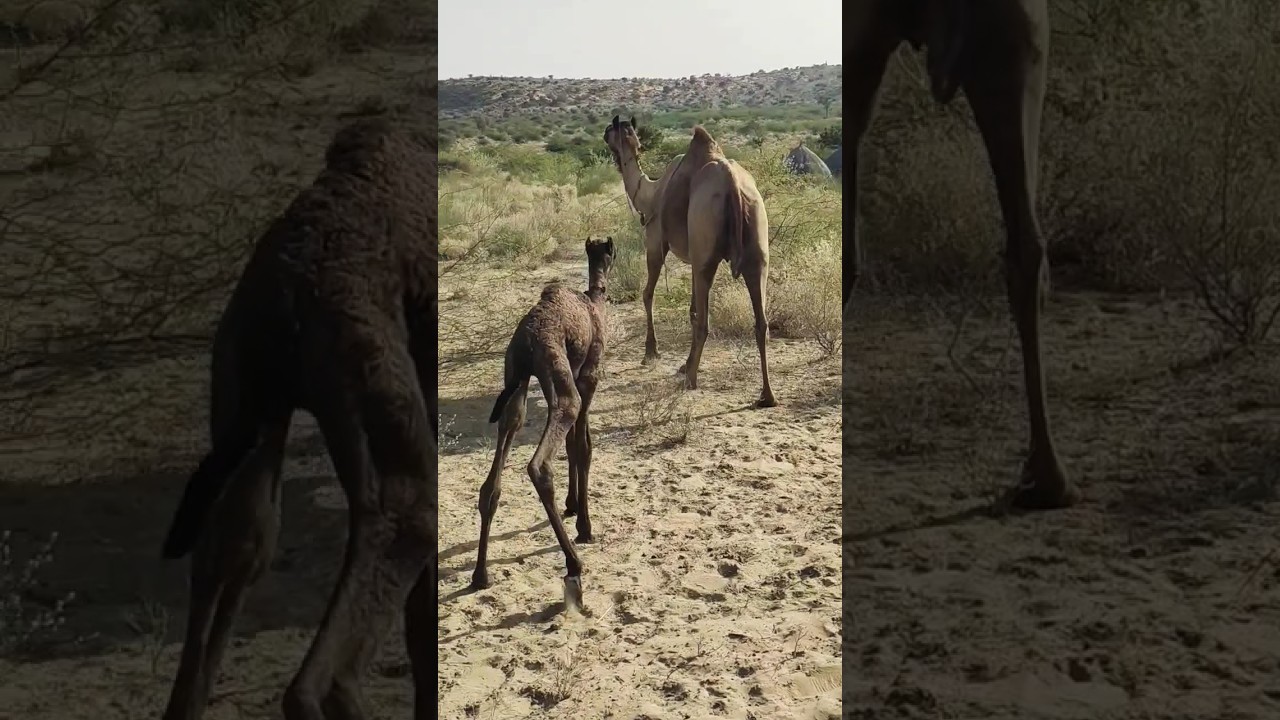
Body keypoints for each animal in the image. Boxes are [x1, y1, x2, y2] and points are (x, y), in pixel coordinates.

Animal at [471, 237, 615, 610]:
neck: (594, 302)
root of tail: (526, 340)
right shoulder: (589, 375)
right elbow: (583, 447)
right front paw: (584, 526)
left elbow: (574, 447)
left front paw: (573, 505)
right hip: (557, 375)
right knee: (541, 461)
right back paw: (574, 564)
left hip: (515, 378)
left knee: (497, 467)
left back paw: (479, 575)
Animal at [603, 116, 777, 408]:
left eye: (610, 129)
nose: (604, 135)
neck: (650, 194)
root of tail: (732, 184)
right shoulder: (693, 258)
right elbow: (692, 309)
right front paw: (683, 363)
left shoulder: (656, 243)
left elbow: (648, 294)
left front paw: (651, 352)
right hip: (756, 245)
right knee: (761, 321)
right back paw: (767, 395)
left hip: (704, 246)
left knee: (705, 321)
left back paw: (691, 380)